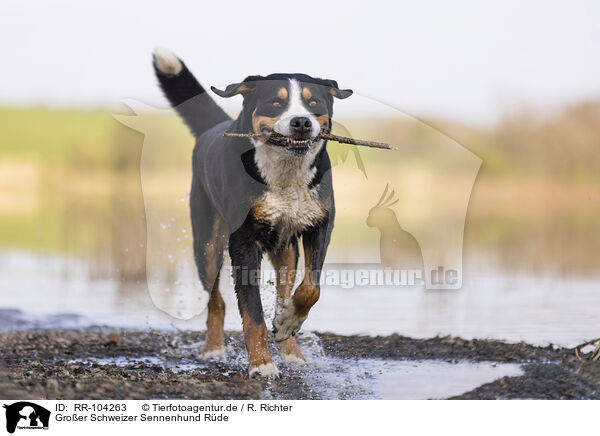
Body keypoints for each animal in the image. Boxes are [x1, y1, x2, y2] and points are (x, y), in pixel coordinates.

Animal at [152, 46, 354, 374]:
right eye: (276, 102)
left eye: (313, 102)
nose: (301, 122)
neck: (285, 176)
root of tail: (215, 128)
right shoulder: (244, 240)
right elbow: (253, 313)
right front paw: (261, 364)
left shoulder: (320, 225)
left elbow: (310, 288)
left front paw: (287, 324)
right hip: (207, 243)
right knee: (216, 302)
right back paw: (213, 349)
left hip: (286, 251)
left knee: (284, 294)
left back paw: (292, 350)